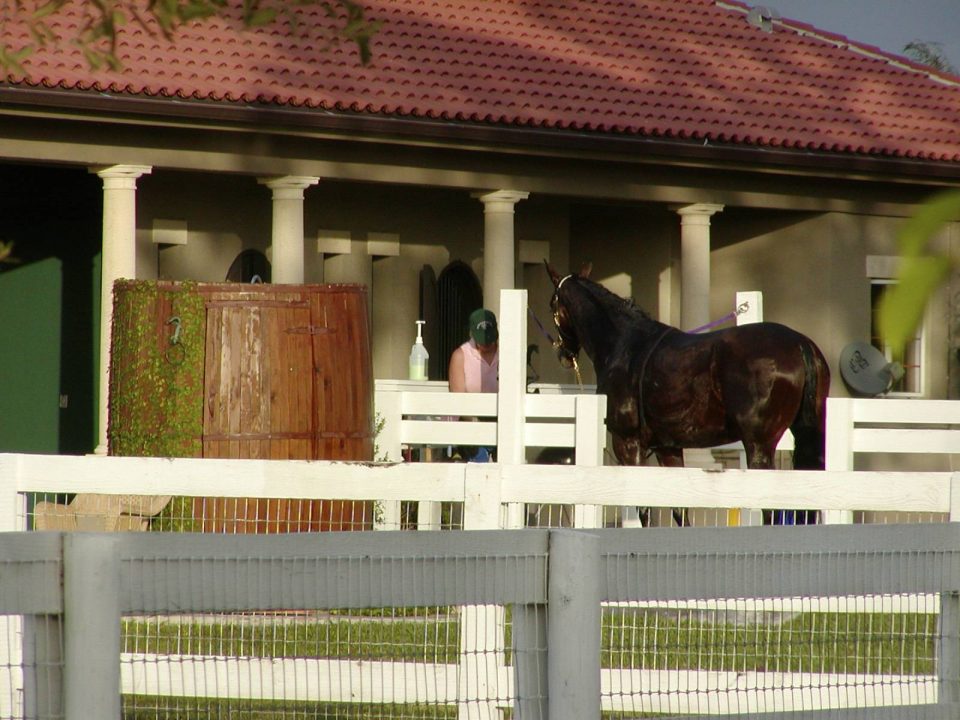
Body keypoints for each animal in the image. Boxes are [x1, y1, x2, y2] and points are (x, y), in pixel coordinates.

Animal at [548, 262, 832, 480]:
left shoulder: (628, 443)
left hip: (758, 445)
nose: (563, 354)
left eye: (552, 304)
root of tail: (800, 343)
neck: (624, 343)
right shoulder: (667, 447)